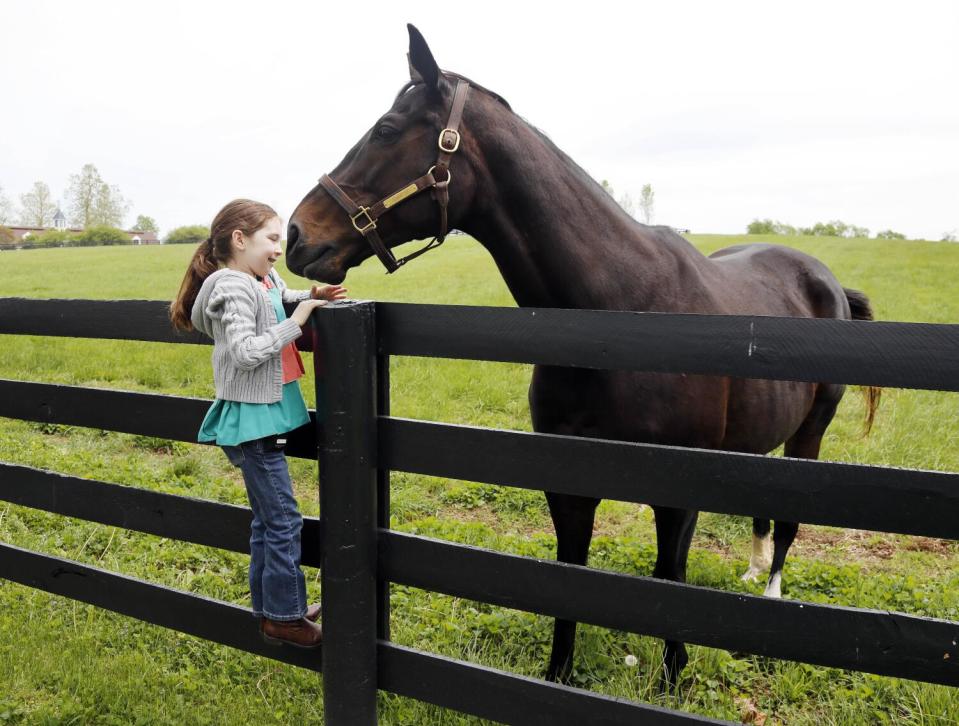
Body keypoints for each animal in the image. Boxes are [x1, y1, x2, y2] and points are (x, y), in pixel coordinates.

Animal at [284, 25, 876, 692]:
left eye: (386, 129)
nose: (297, 234)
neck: (618, 319)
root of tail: (825, 279)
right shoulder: (567, 484)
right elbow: (568, 578)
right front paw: (560, 672)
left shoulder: (680, 493)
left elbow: (671, 580)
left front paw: (671, 678)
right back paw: (751, 573)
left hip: (811, 433)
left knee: (788, 520)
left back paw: (770, 597)